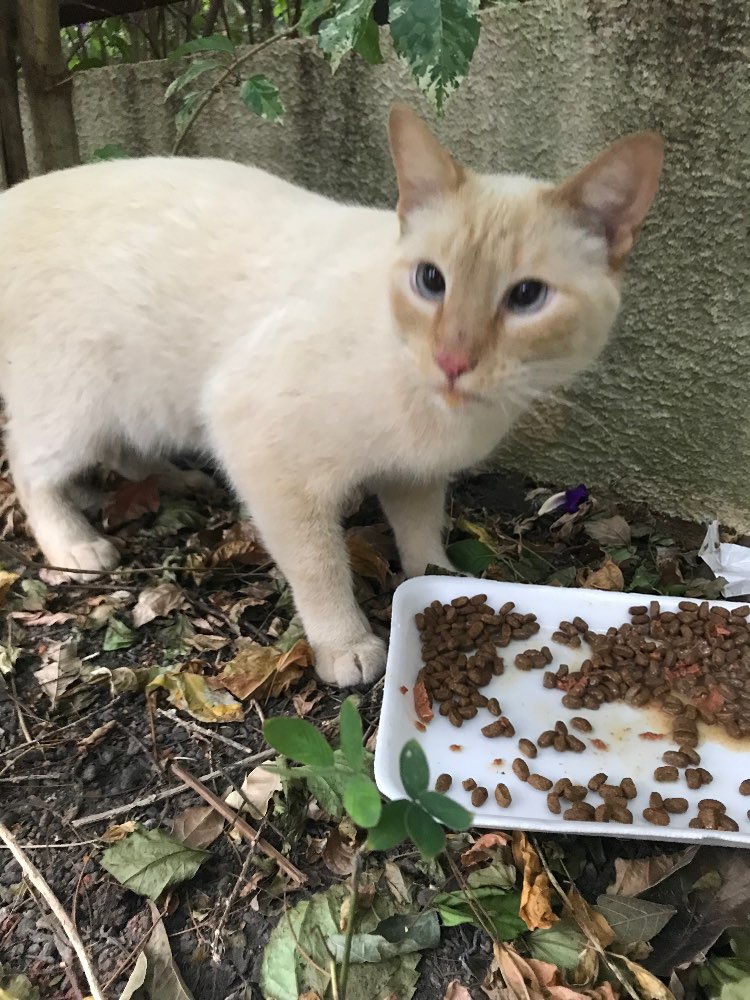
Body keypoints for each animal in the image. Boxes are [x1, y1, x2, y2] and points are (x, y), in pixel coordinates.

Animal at [0, 105, 663, 687]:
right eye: (431, 281)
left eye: (527, 297)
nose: (452, 362)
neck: (444, 415)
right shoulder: (261, 447)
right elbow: (320, 566)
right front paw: (346, 646)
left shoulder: (415, 472)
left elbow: (421, 534)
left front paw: (438, 581)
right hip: (76, 407)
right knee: (32, 470)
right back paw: (77, 545)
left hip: (136, 404)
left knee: (125, 451)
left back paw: (179, 481)